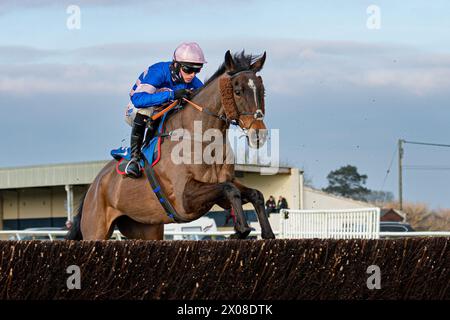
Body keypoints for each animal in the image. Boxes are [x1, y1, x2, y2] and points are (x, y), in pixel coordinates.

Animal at [67, 50, 276, 240]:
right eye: (238, 91)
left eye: (262, 91)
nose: (259, 134)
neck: (202, 139)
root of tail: (93, 185)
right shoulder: (184, 198)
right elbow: (229, 189)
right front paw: (242, 229)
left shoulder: (227, 182)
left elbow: (255, 194)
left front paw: (266, 232)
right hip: (95, 230)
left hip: (147, 228)